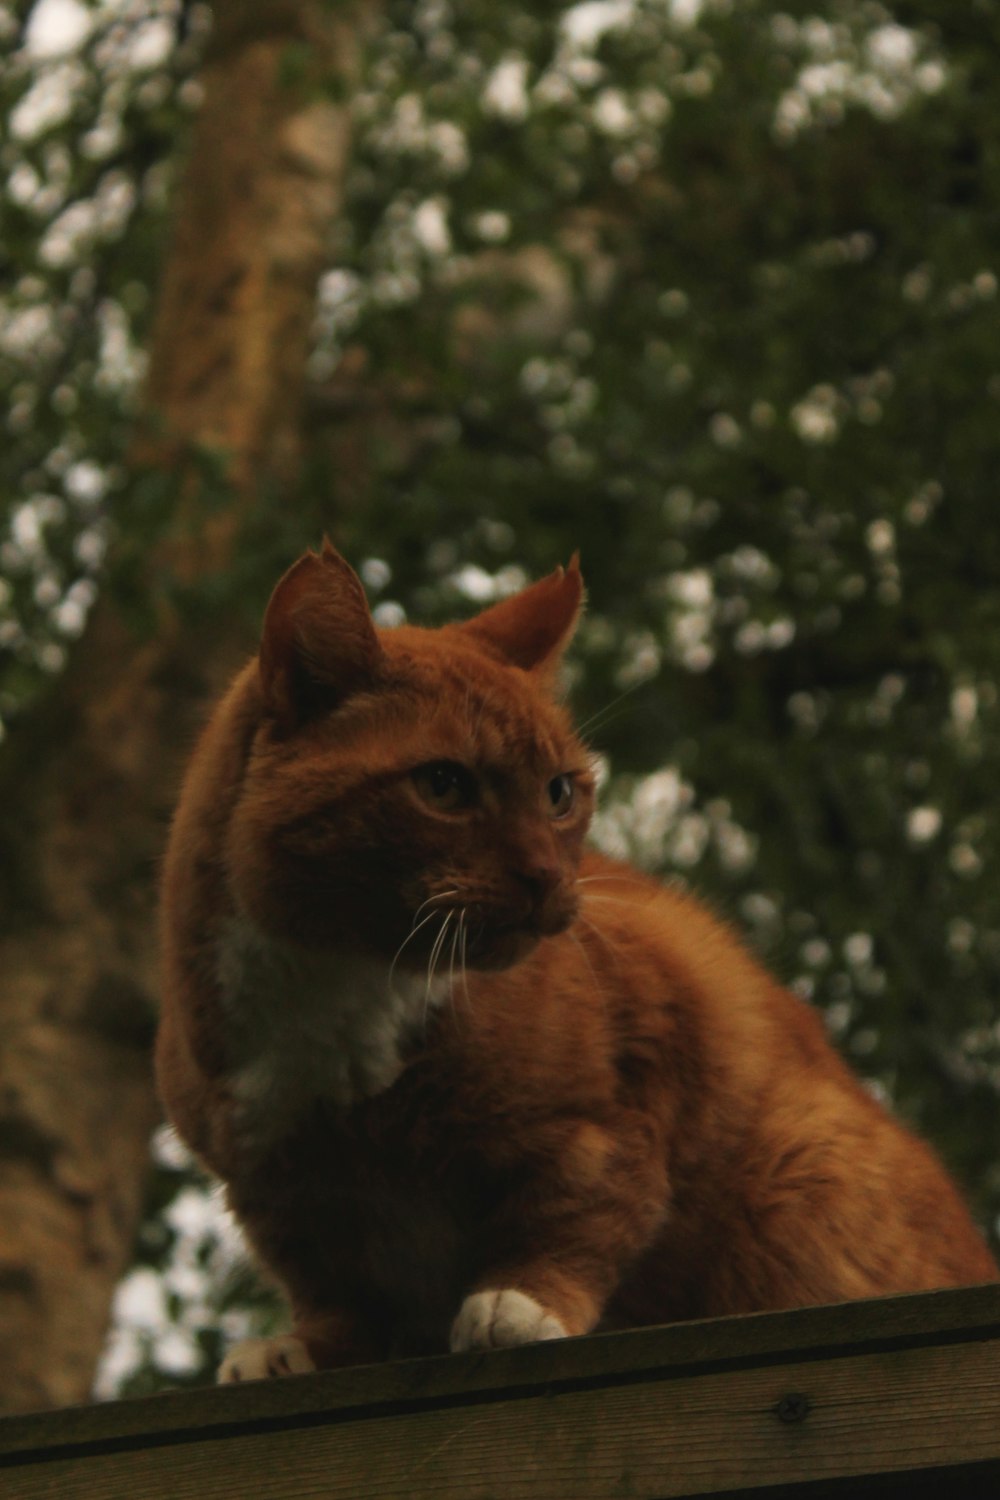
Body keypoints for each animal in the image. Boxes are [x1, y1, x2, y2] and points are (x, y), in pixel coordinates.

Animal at [156, 543, 995, 1380]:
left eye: (560, 792)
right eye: (442, 784)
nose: (545, 877)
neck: (329, 1005)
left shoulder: (627, 1092)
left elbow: (582, 1211)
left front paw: (520, 1305)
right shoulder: (279, 1201)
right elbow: (334, 1298)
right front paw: (299, 1350)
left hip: (806, 1171)